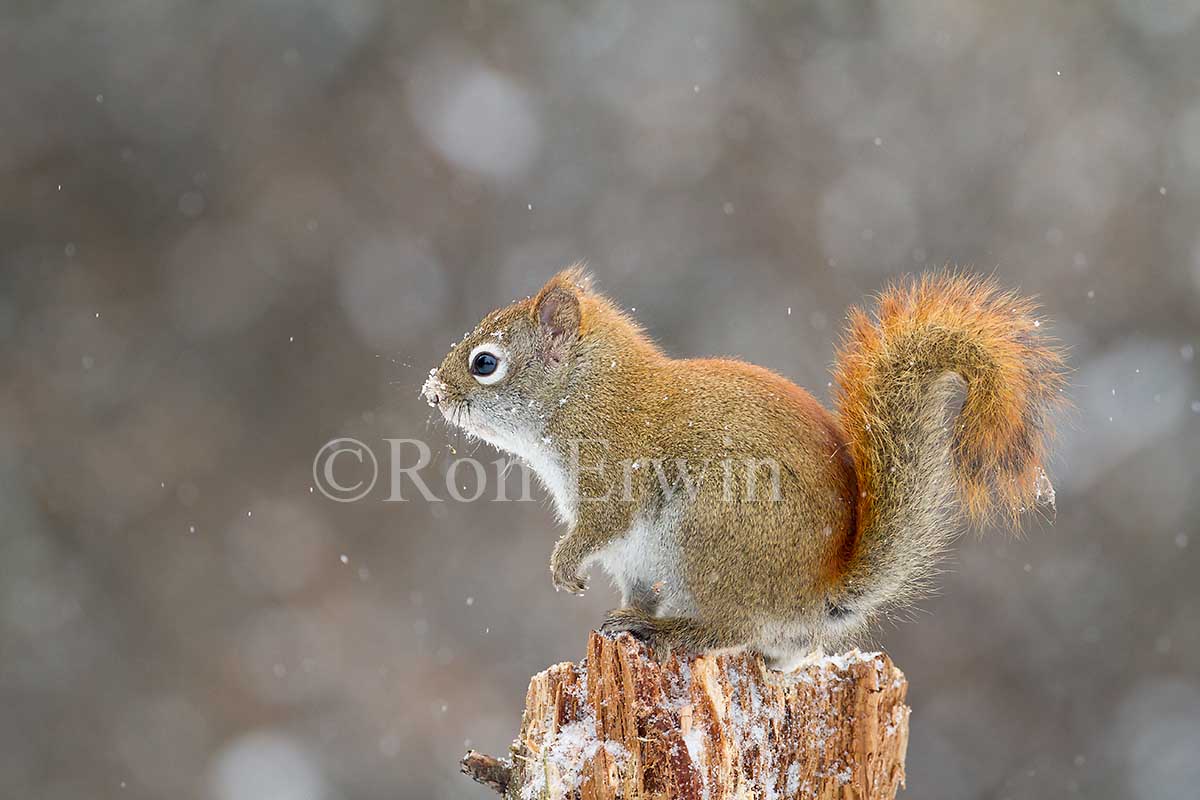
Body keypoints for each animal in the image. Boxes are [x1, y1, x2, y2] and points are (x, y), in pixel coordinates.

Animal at [421, 267, 1067, 670]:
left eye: (485, 363)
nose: (432, 392)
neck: (586, 392)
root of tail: (814, 593)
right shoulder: (633, 562)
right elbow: (633, 584)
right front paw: (615, 610)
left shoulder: (614, 471)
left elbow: (602, 524)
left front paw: (565, 564)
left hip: (707, 534)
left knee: (730, 630)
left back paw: (666, 632)